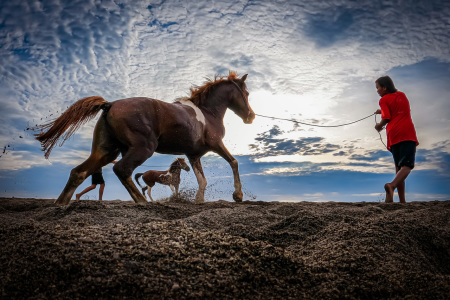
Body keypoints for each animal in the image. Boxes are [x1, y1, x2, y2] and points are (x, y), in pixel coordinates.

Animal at [35, 71, 255, 205]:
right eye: (246, 93)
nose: (251, 116)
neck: (207, 113)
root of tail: (109, 104)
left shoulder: (193, 155)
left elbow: (202, 180)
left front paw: (198, 200)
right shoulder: (216, 144)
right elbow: (234, 162)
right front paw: (238, 195)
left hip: (107, 151)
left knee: (78, 172)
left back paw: (60, 204)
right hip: (143, 148)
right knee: (122, 170)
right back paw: (142, 202)